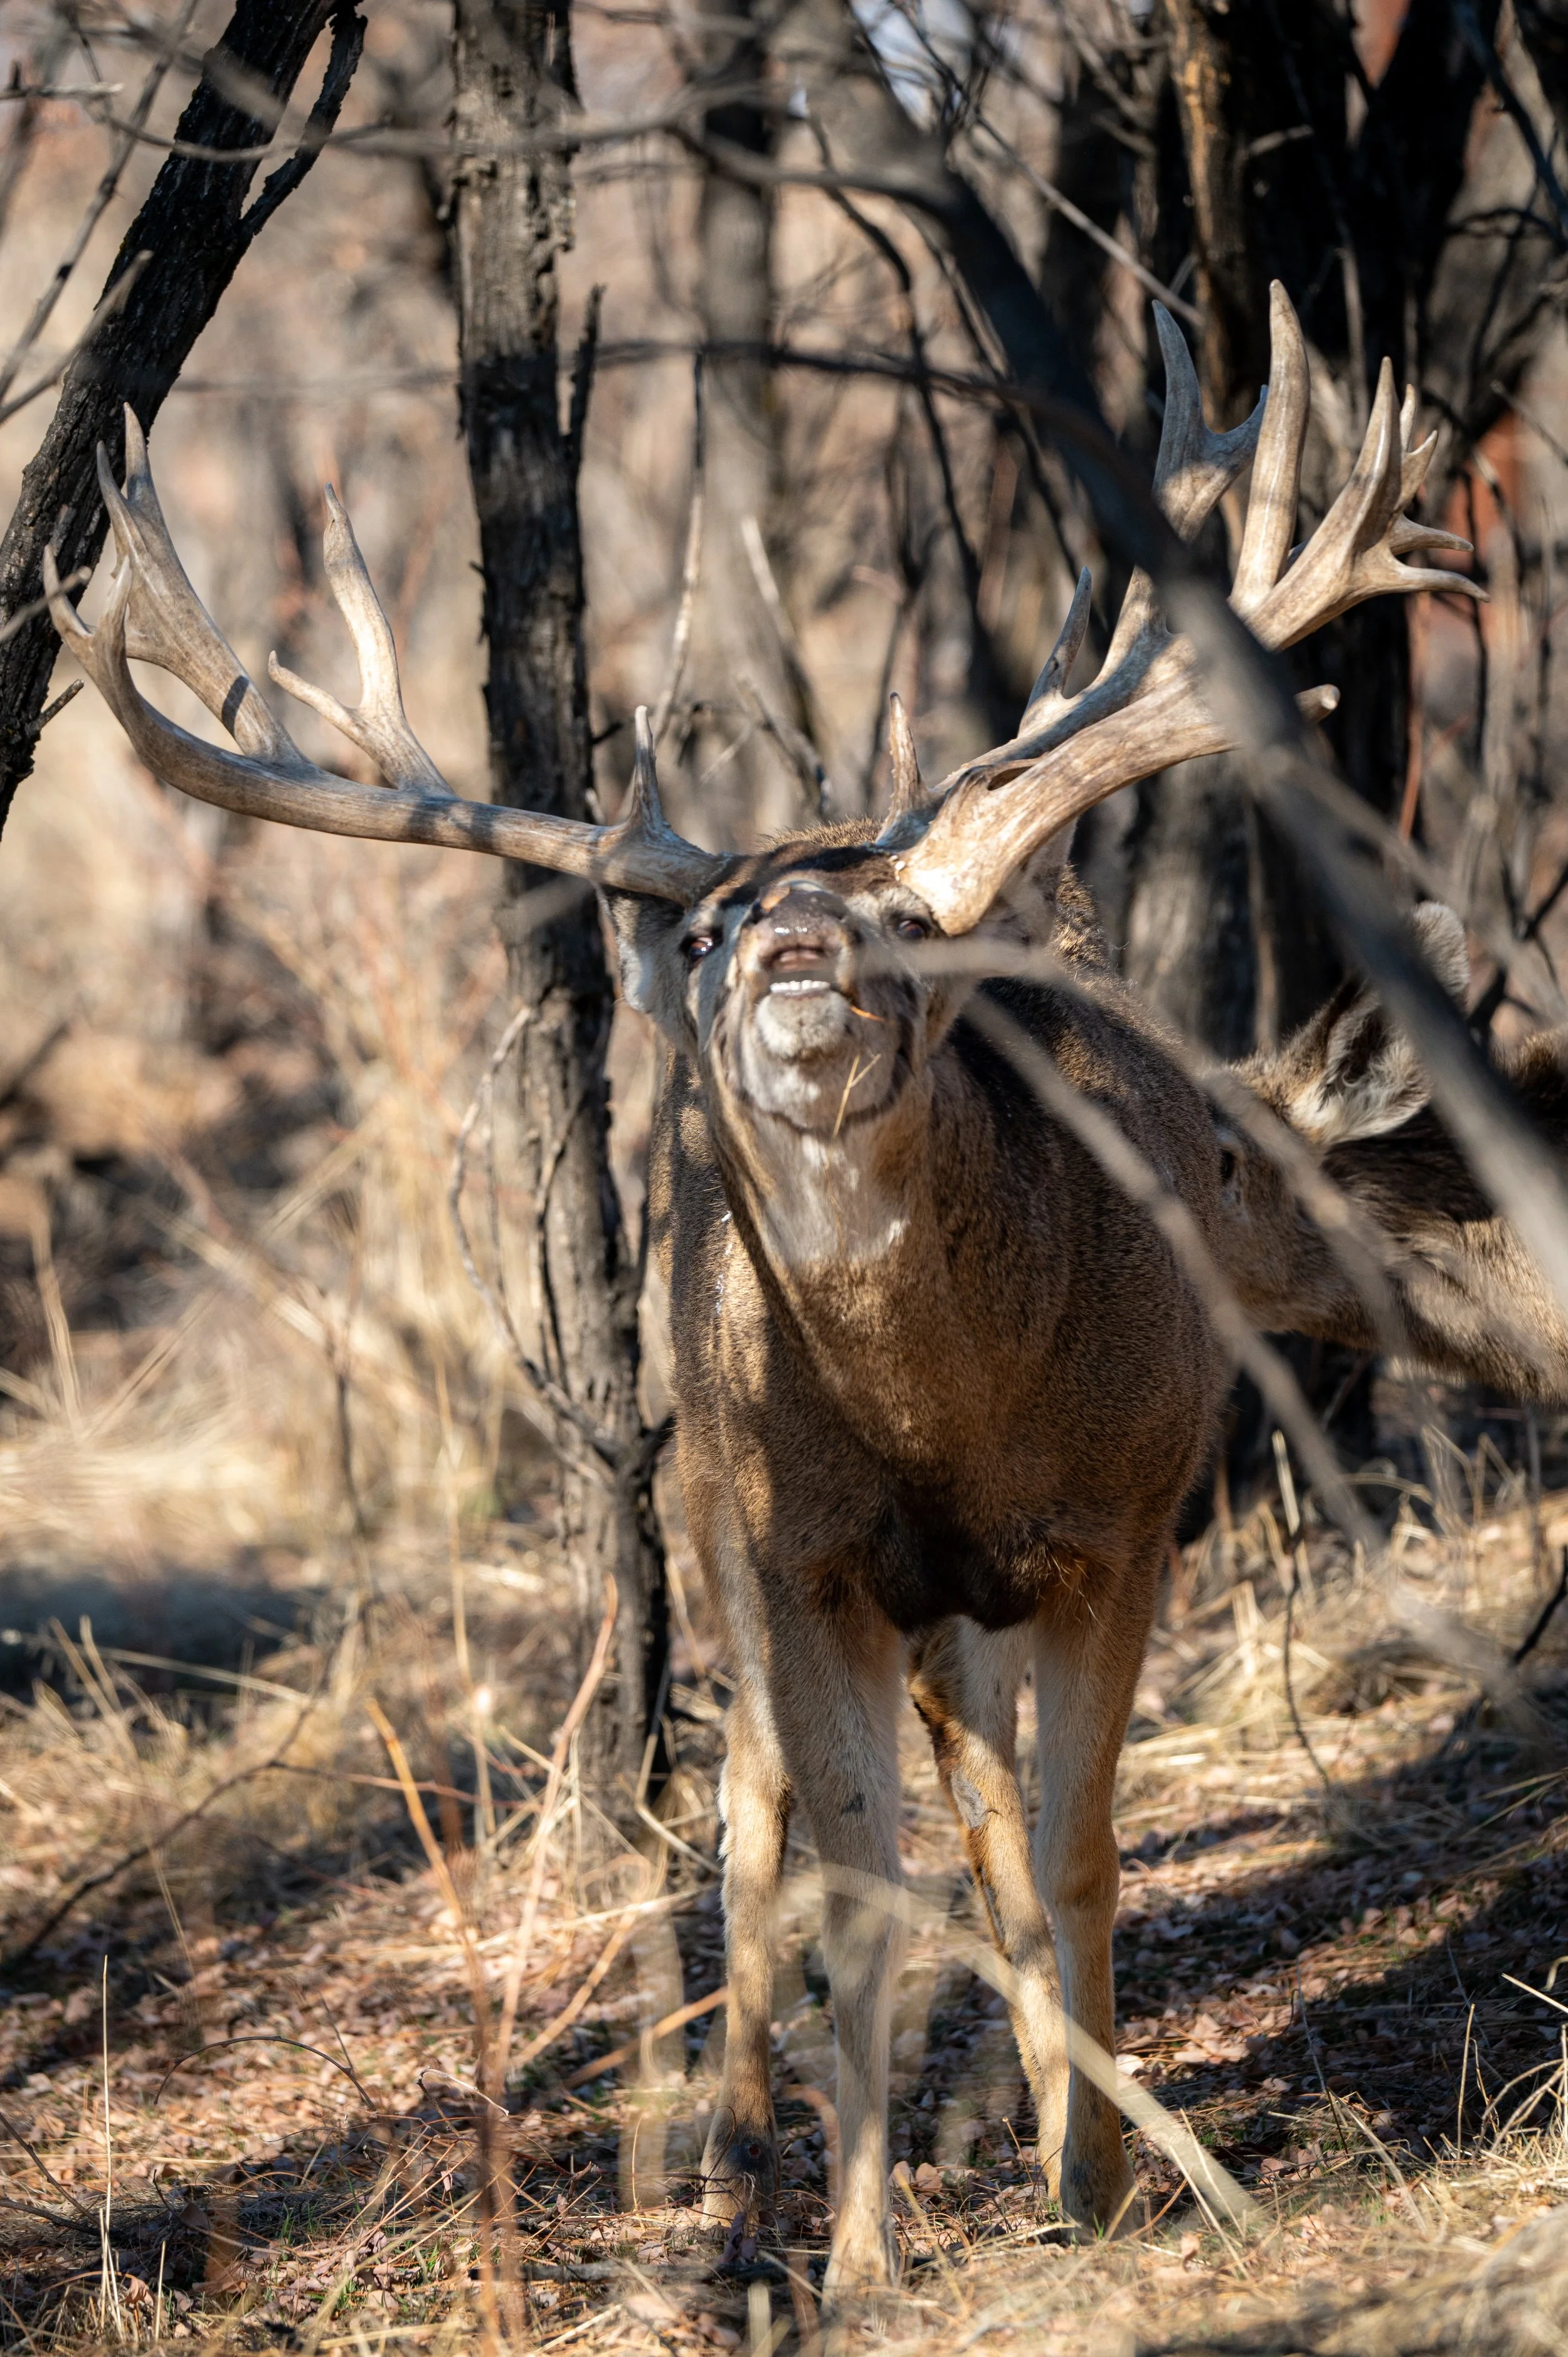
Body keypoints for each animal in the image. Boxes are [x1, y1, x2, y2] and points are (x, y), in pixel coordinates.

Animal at [45, 282, 1473, 2296]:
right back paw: (729, 2156)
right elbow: (855, 1878)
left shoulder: (1127, 1516)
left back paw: (1052, 2130)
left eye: (906, 918)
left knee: (984, 1815)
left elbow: (1079, 1847)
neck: (955, 1418)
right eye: (721, 925)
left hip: (960, 1595)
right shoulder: (808, 1548)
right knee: (749, 1806)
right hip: (720, 1506)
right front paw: (863, 2252)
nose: (792, 944)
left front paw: (1104, 2185)